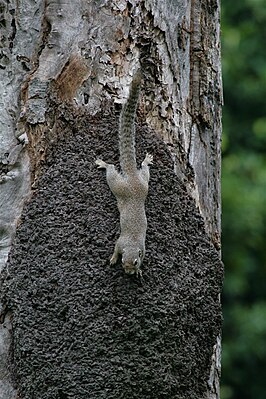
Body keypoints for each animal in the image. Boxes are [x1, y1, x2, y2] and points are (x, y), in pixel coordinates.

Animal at [96, 70, 153, 276]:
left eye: (136, 261)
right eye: (123, 260)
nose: (128, 271)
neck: (131, 244)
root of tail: (133, 178)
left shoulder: (143, 248)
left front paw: (139, 272)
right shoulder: (120, 242)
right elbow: (114, 248)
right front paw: (112, 259)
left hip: (137, 184)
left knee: (136, 171)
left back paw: (144, 161)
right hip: (125, 184)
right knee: (115, 169)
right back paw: (104, 163)